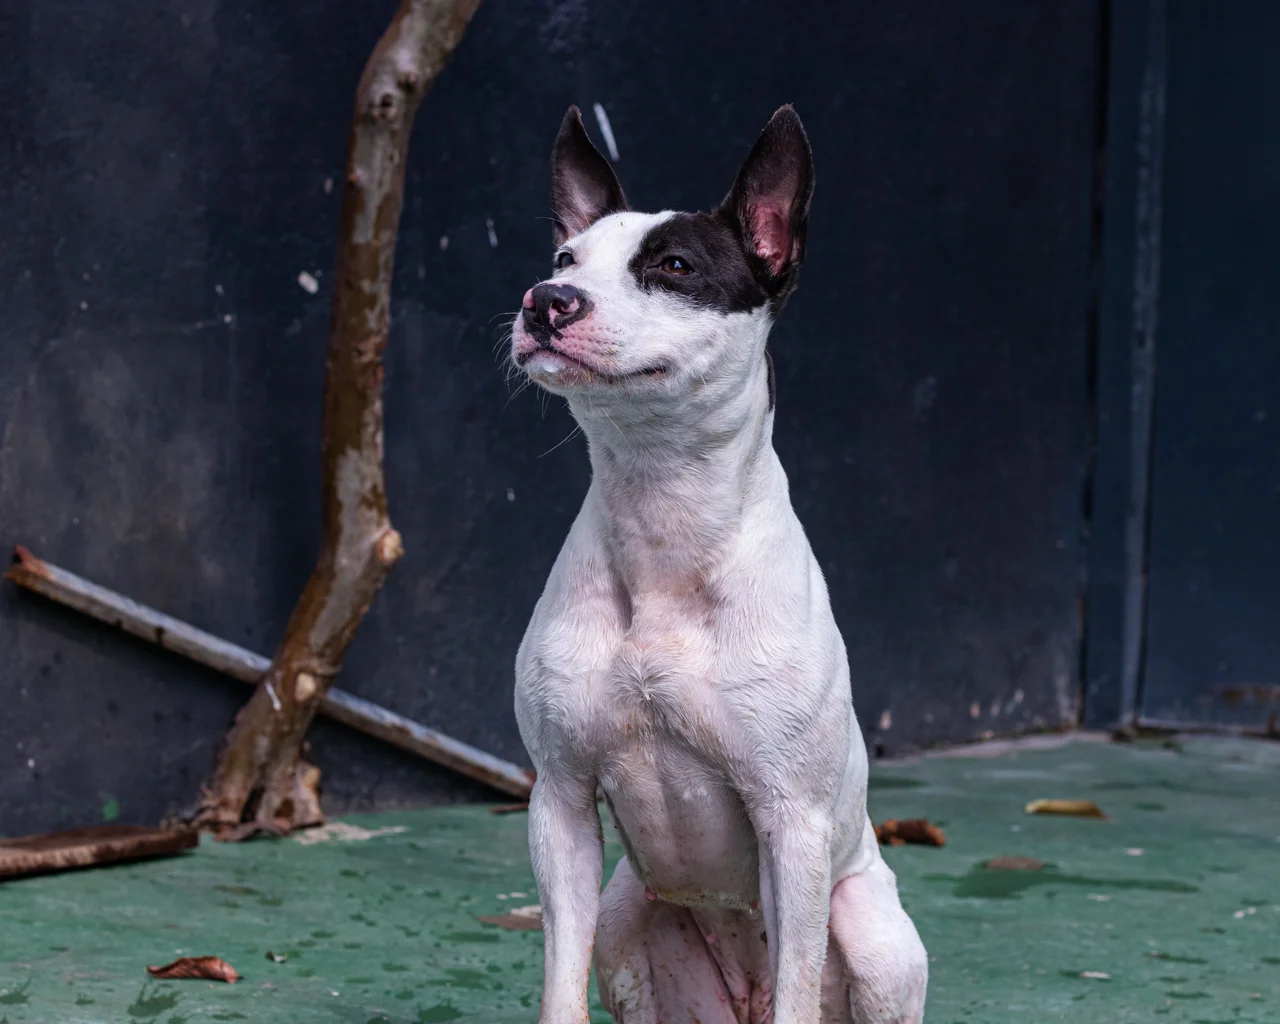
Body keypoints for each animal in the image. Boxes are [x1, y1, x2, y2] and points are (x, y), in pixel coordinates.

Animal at [510, 105, 928, 1024]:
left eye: (674, 266)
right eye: (564, 260)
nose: (545, 301)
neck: (662, 518)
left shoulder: (793, 823)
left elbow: (800, 985)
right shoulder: (559, 802)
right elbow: (558, 984)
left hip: (876, 939)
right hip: (624, 915)